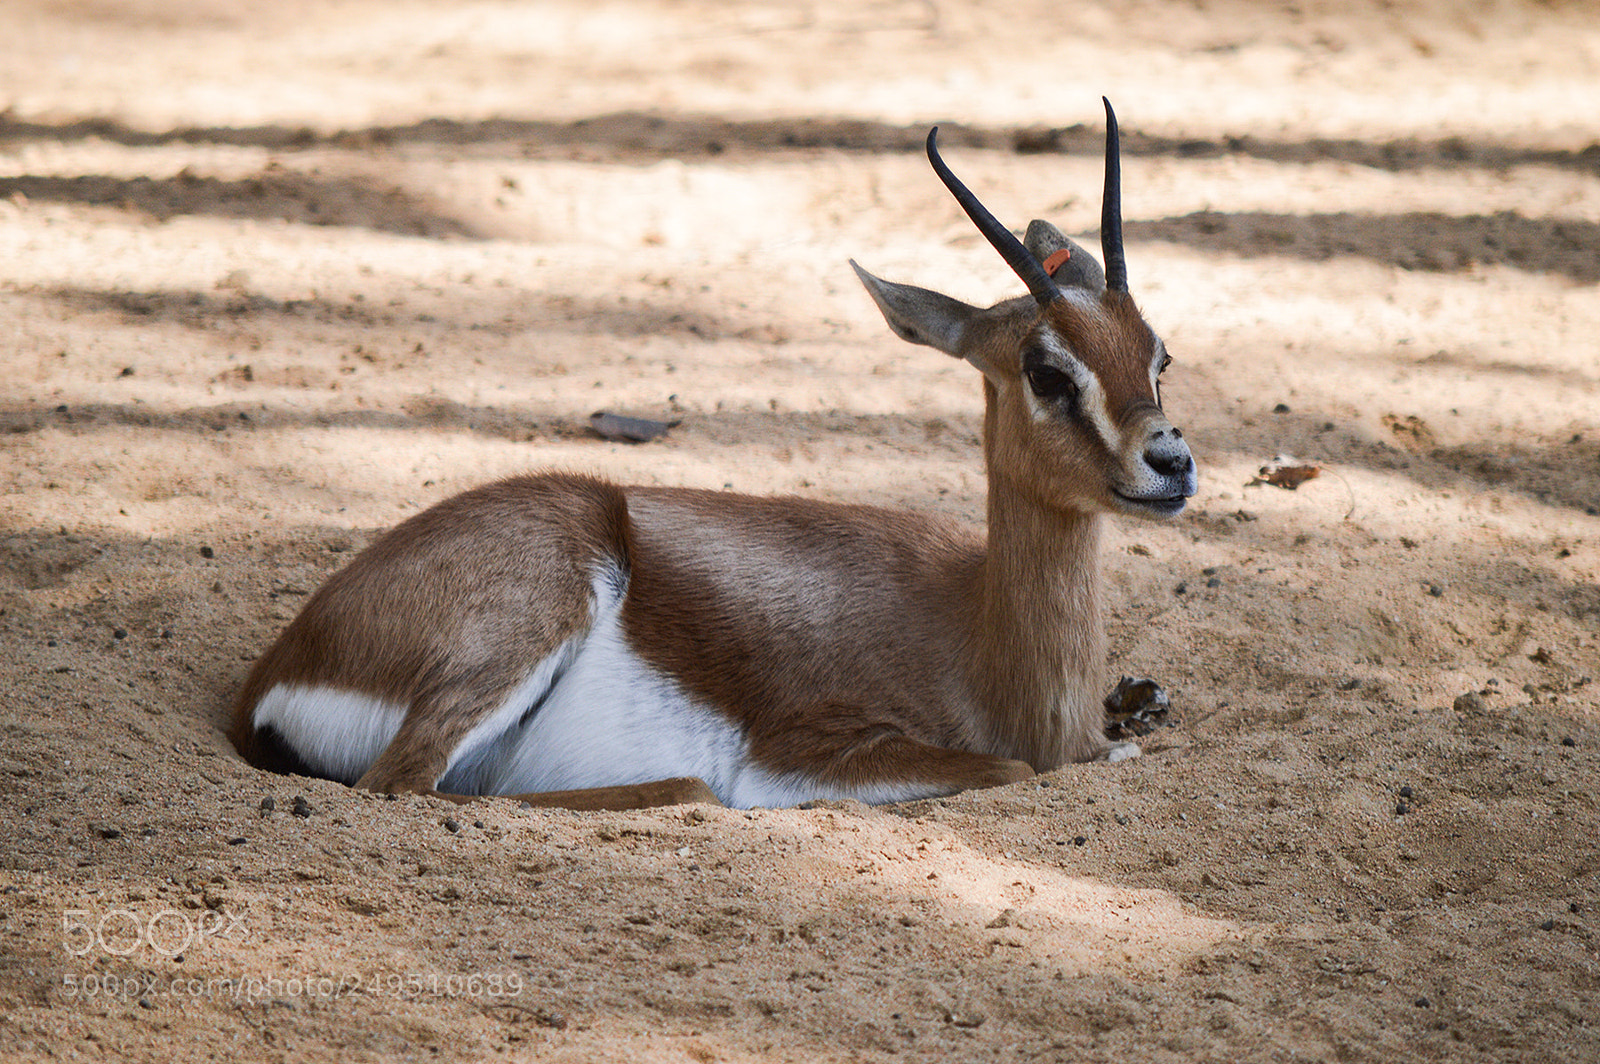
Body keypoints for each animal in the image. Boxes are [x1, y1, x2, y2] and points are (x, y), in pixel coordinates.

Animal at [229, 99, 1197, 812]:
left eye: (1157, 354)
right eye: (1046, 369)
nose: (1171, 462)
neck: (980, 637)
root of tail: (274, 671)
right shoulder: (805, 752)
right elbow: (1010, 768)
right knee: (407, 786)